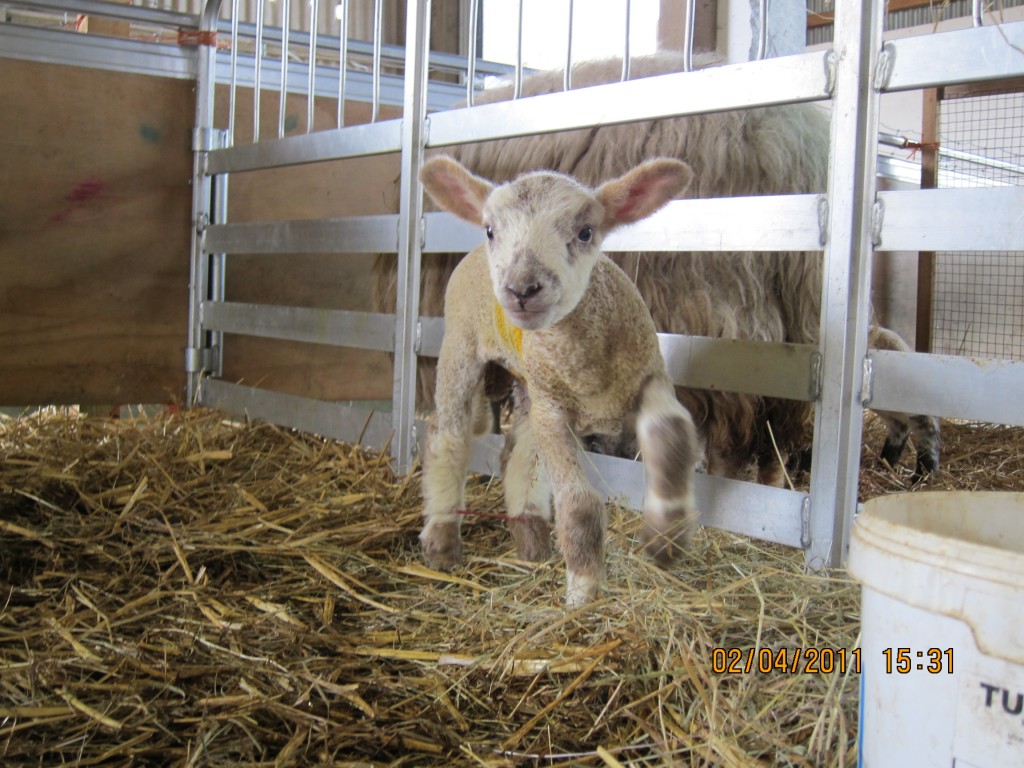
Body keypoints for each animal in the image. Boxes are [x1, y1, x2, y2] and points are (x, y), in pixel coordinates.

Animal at [419, 153, 700, 606]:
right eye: (492, 229)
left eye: (586, 232)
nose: (521, 289)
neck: (587, 371)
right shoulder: (554, 412)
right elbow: (580, 504)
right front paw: (583, 590)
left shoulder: (648, 378)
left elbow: (673, 434)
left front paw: (666, 537)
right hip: (461, 348)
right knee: (446, 437)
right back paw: (443, 541)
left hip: (529, 383)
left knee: (518, 455)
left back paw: (532, 539)